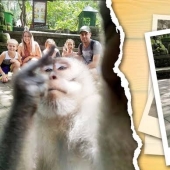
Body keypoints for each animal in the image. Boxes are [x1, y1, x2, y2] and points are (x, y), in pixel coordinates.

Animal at [0, 1, 137, 170]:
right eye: (47, 70)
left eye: (61, 68)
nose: (52, 76)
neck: (62, 119)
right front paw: (26, 89)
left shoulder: (90, 111)